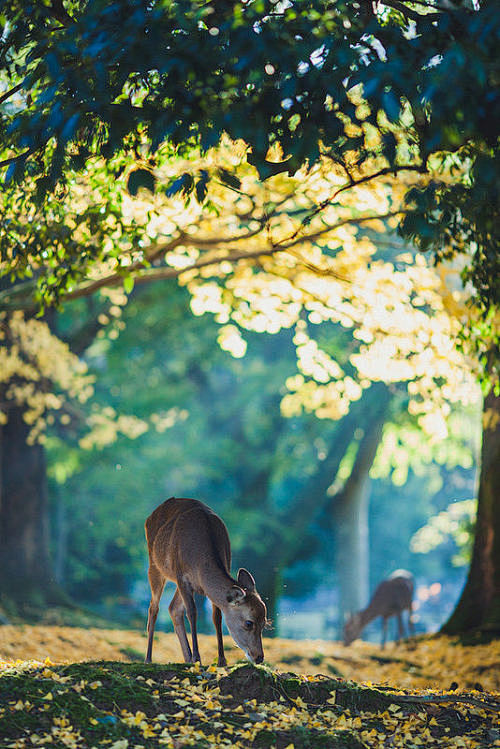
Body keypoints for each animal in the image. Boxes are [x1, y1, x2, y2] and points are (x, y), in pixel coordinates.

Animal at [145, 496, 268, 668]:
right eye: (249, 623)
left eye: (265, 623)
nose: (259, 657)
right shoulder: (181, 576)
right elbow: (192, 612)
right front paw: (197, 658)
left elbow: (217, 617)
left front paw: (221, 660)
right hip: (154, 565)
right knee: (154, 607)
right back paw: (149, 659)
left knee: (173, 608)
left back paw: (186, 657)